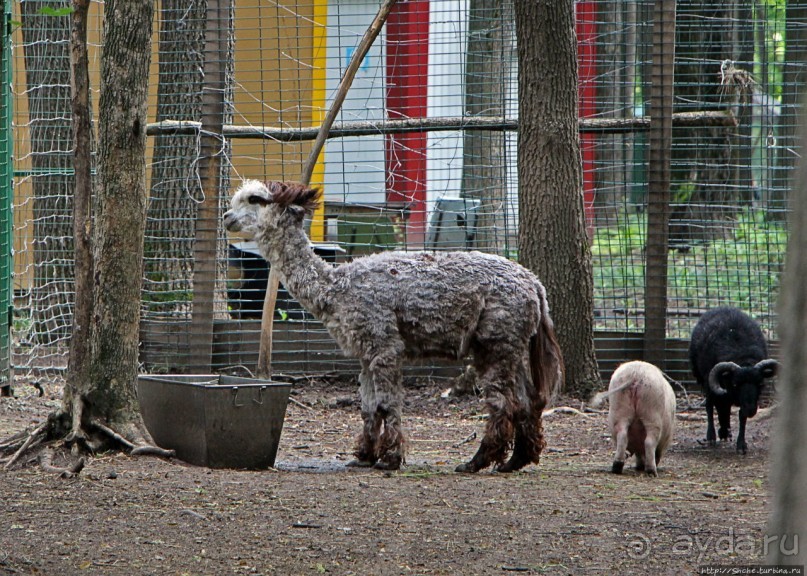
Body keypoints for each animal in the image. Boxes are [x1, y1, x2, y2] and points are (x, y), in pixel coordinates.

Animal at [688, 306, 776, 454]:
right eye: (736, 384)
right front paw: (716, 434)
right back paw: (715, 435)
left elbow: (741, 415)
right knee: (712, 405)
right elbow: (713, 406)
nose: (751, 410)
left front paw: (741, 444)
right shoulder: (713, 385)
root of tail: (722, 307)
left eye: (760, 384)